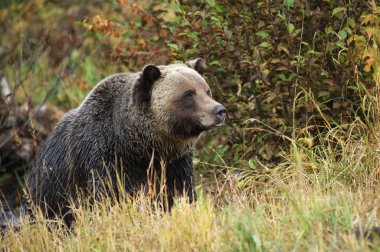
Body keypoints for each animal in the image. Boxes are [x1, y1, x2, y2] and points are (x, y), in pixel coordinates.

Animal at [28, 58, 227, 222]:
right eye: (189, 94)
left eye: (207, 90)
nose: (219, 110)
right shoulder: (105, 157)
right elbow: (110, 197)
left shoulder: (174, 163)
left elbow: (178, 193)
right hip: (49, 188)